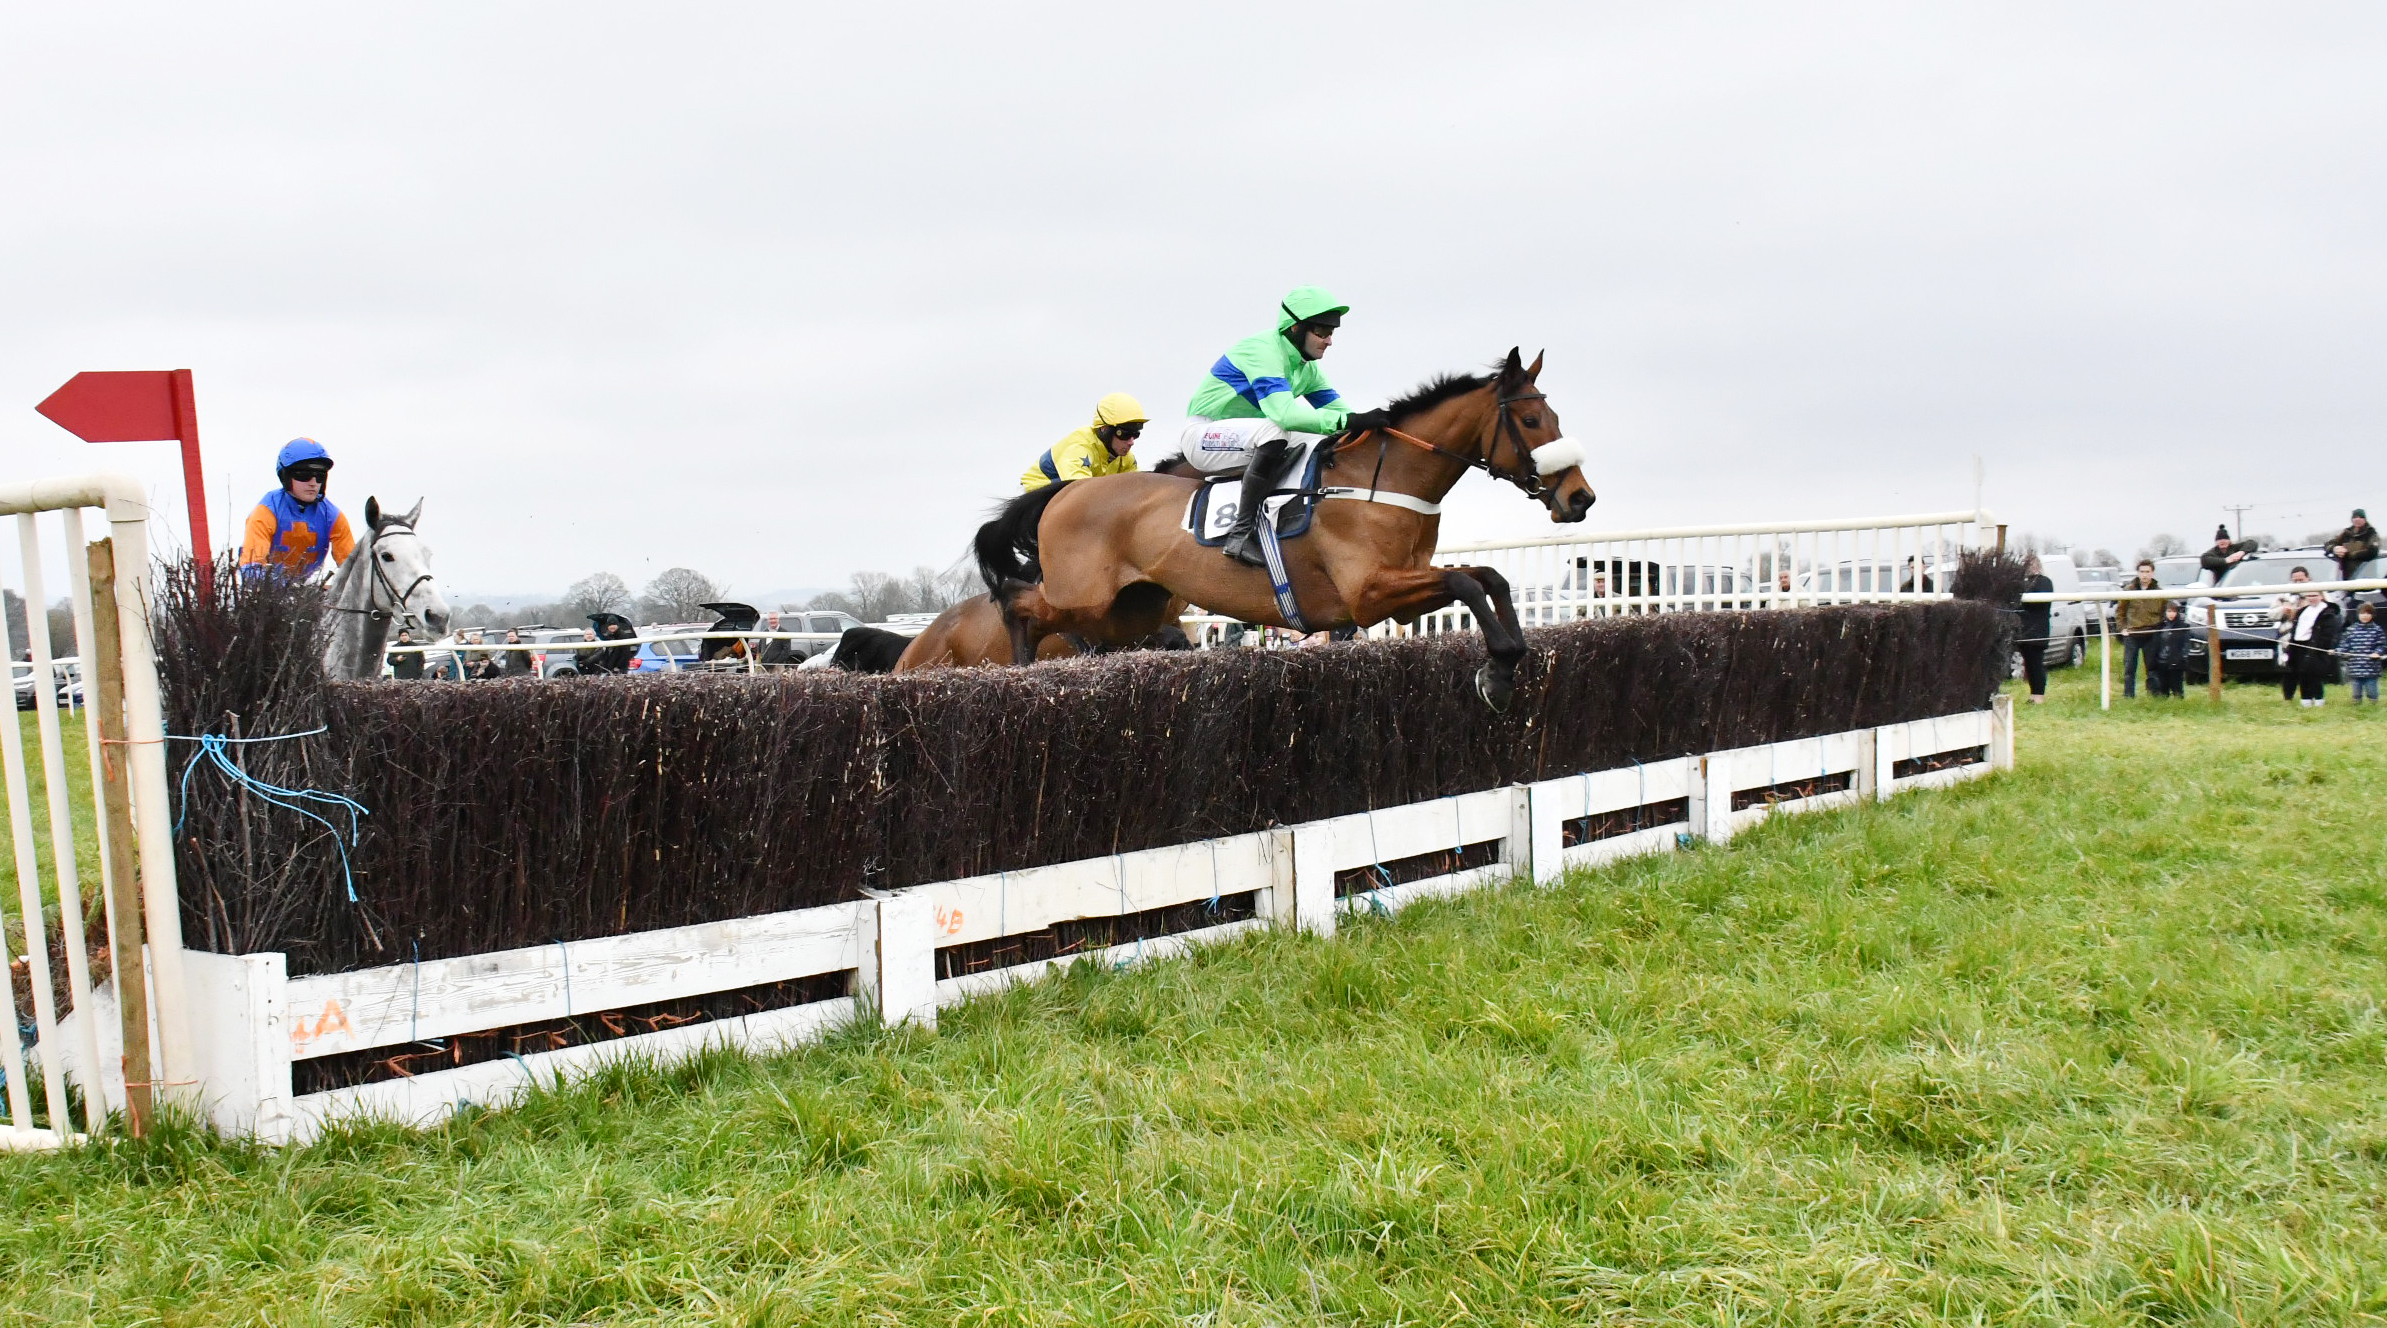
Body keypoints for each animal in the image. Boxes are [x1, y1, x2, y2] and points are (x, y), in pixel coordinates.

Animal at [972, 349, 1593, 708]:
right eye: (1532, 420)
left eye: (1556, 418)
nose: (1579, 497)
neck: (1381, 480)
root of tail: (1067, 492)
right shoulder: (1369, 594)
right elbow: (1466, 582)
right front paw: (1497, 668)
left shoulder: (1406, 583)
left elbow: (1489, 577)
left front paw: (1507, 663)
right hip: (1085, 597)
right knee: (1021, 603)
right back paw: (1019, 667)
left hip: (1132, 610)